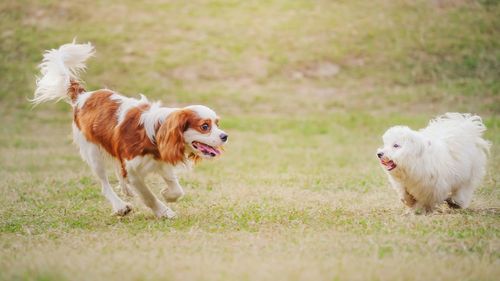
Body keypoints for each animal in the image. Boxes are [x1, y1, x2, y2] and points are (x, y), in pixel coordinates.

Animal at [31, 41, 227, 217]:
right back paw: (120, 206)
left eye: (217, 123)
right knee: (104, 184)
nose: (225, 136)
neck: (154, 133)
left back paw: (126, 190)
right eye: (205, 126)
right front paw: (164, 212)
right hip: (92, 153)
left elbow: (176, 188)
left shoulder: (160, 160)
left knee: (118, 171)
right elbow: (148, 196)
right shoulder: (133, 169)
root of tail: (82, 96)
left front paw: (167, 195)